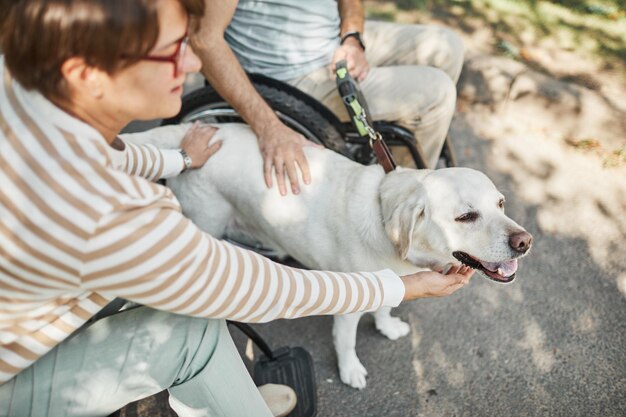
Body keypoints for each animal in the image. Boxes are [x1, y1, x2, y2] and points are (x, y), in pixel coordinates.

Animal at [123, 122, 532, 388]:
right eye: (466, 216)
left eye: (500, 203)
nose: (525, 242)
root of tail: (206, 131)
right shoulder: (352, 302)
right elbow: (347, 341)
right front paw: (351, 371)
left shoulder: (396, 280)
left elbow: (386, 307)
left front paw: (387, 327)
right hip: (205, 223)